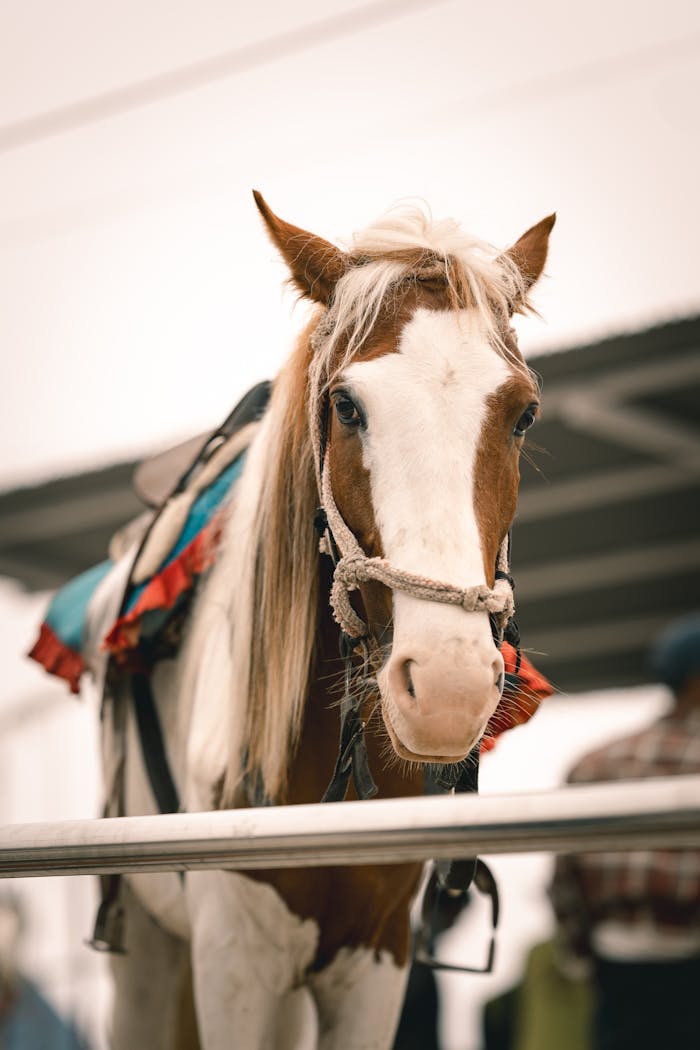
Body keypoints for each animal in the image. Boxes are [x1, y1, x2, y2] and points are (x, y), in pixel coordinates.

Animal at [84, 193, 555, 1050]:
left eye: (524, 414)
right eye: (346, 404)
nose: (447, 689)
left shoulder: (376, 960)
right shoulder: (233, 959)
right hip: (146, 953)